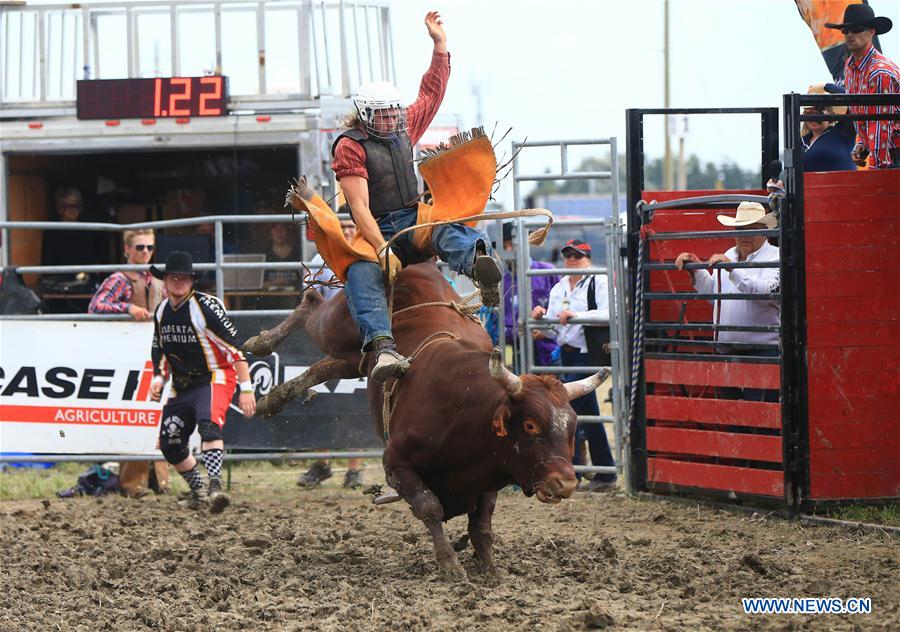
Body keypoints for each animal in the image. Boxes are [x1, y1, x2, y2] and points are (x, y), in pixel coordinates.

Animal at [243, 260, 608, 576]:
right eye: (531, 425)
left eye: (573, 426)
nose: (566, 483)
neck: (466, 414)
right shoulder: (396, 464)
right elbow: (430, 507)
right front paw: (449, 564)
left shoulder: (491, 473)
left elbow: (482, 525)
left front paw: (490, 567)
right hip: (340, 323)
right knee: (312, 305)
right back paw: (261, 343)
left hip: (354, 357)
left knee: (326, 366)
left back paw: (273, 398)